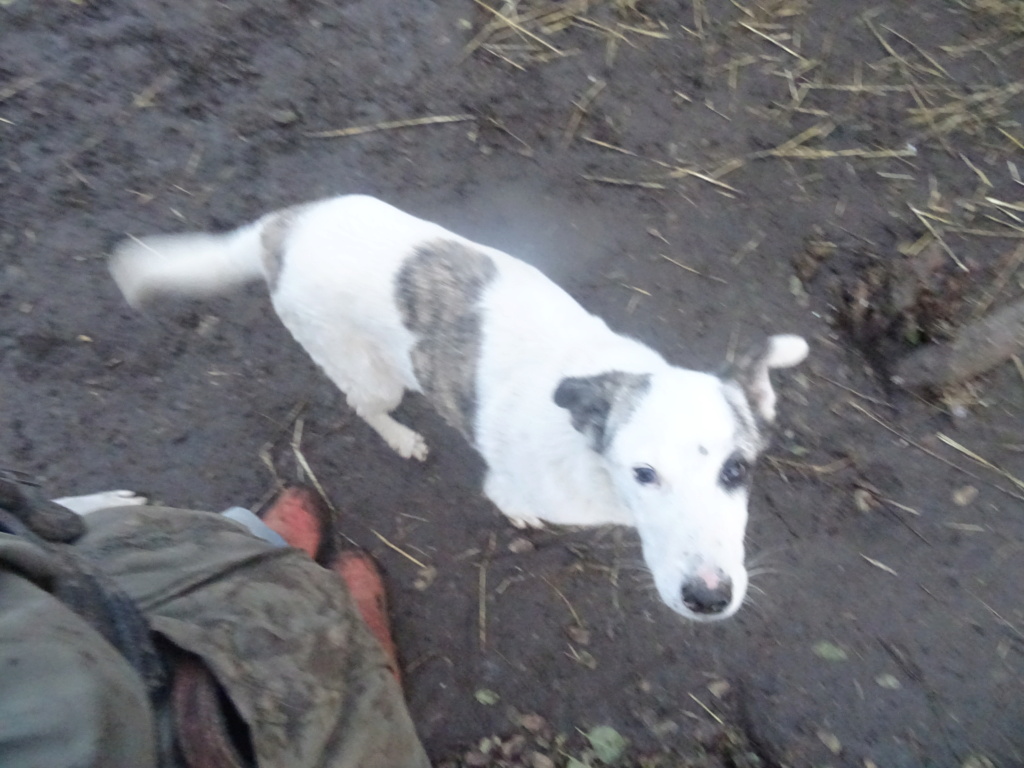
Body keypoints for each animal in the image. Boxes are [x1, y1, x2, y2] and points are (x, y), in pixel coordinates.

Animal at [105, 195, 806, 622]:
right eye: (643, 473)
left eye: (736, 471)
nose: (708, 598)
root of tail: (283, 227)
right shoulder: (514, 484)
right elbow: (508, 500)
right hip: (371, 375)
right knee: (364, 403)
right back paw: (400, 438)